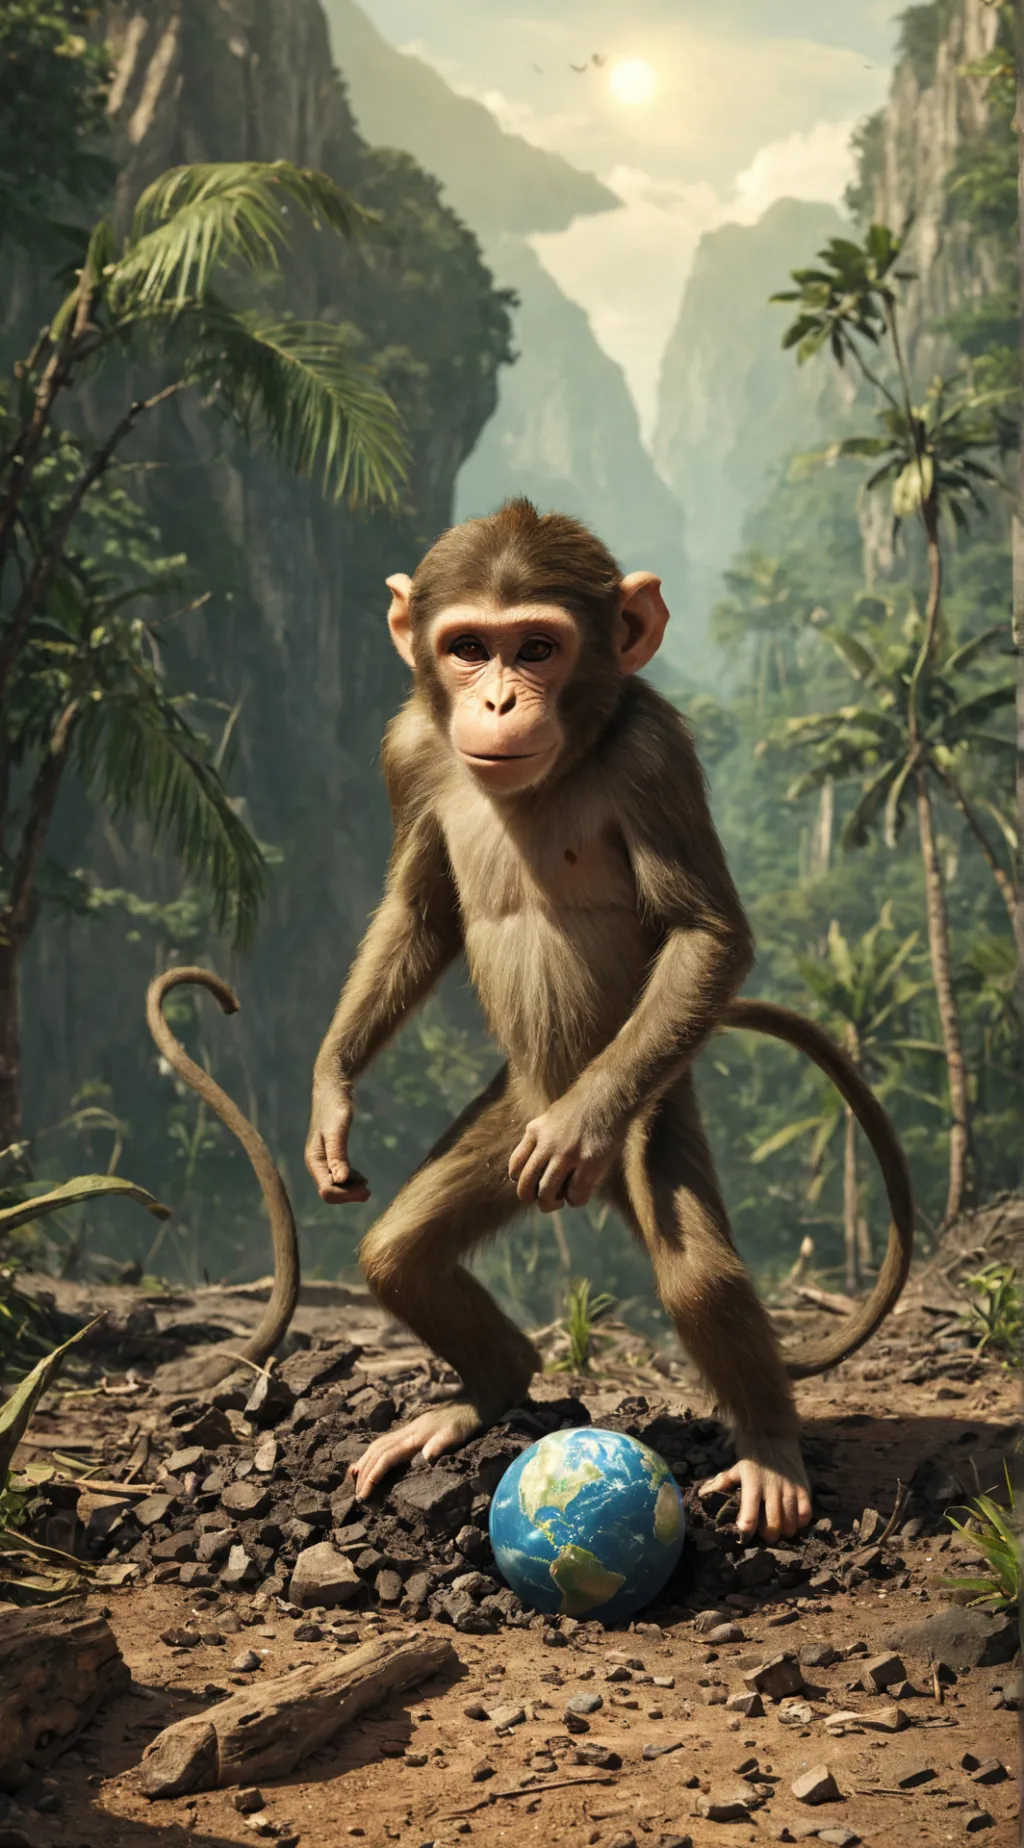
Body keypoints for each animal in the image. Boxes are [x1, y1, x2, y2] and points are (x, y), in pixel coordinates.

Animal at [305, 499, 914, 1543]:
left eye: (538, 647)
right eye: (468, 647)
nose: (498, 702)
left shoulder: (653, 753)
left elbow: (705, 933)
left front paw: (578, 1131)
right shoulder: (407, 747)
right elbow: (419, 913)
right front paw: (331, 1099)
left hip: (645, 1102)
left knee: (697, 1275)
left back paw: (771, 1452)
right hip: (509, 1111)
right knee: (399, 1255)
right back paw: (485, 1394)